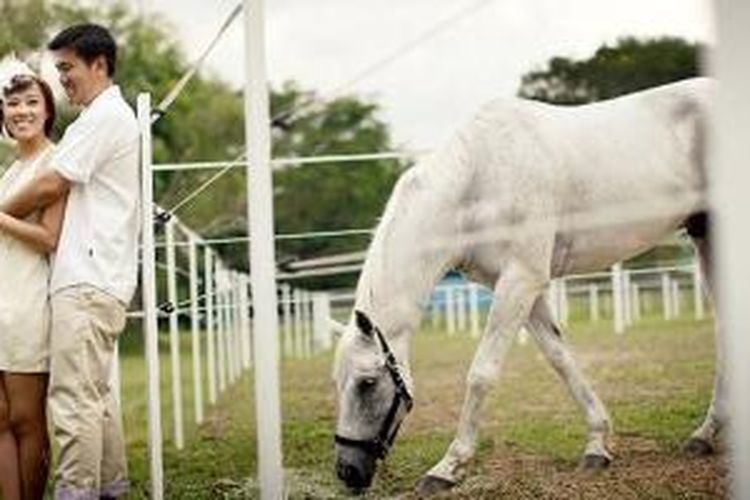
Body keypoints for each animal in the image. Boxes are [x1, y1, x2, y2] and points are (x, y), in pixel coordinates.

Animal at [334, 76, 724, 494]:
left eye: (367, 383)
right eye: (337, 382)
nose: (347, 471)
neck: (478, 179)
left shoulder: (521, 279)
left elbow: (482, 374)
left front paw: (448, 466)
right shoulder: (521, 287)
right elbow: (560, 358)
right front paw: (596, 445)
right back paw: (704, 435)